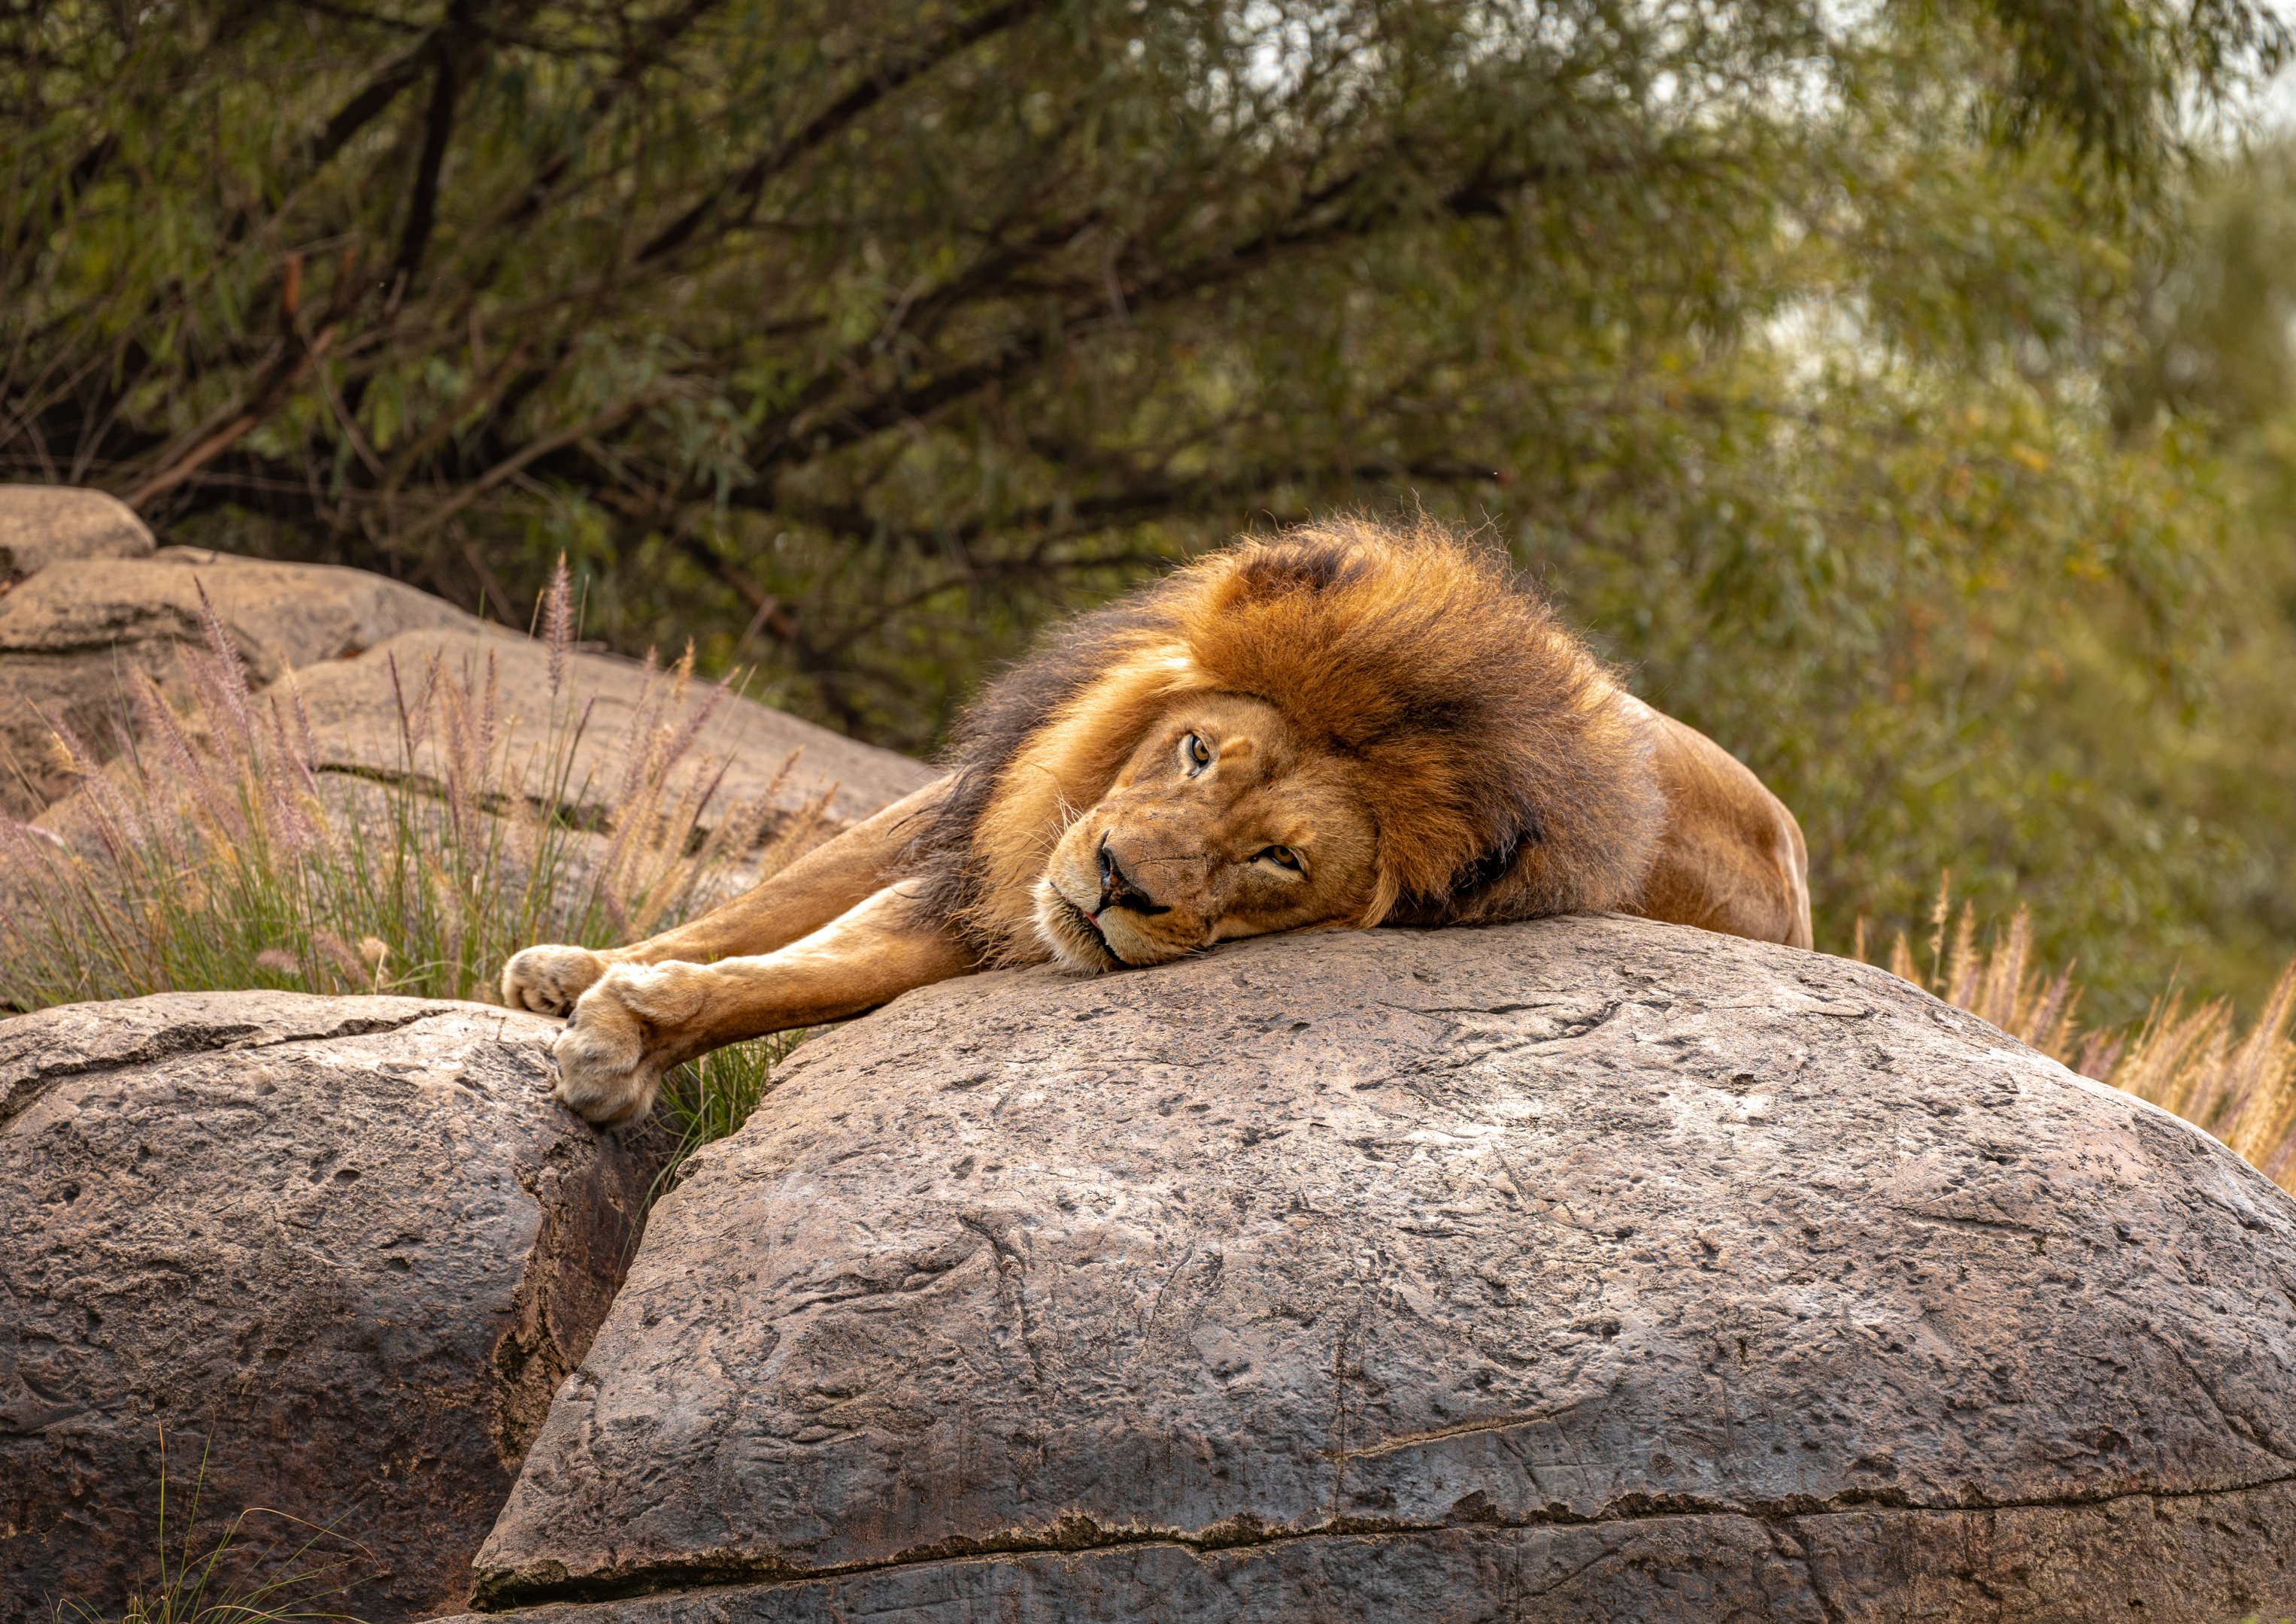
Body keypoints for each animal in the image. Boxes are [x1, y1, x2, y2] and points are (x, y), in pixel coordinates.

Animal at [503, 517, 1811, 1125]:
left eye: (1277, 860)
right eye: (1196, 752)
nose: (1117, 881)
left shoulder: (999, 909)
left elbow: (803, 975)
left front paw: (626, 1036)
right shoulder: (993, 827)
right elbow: (779, 900)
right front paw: (577, 970)